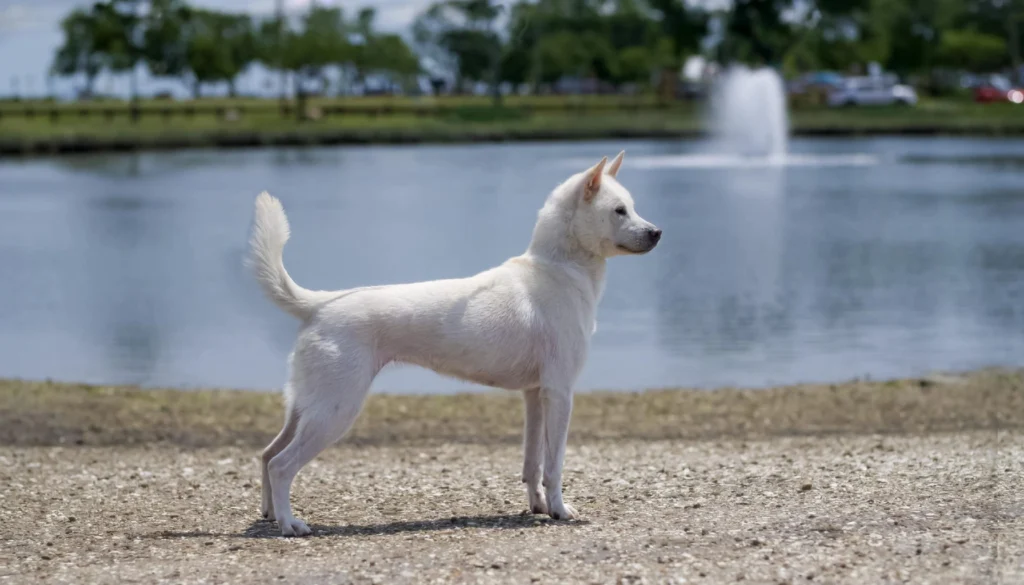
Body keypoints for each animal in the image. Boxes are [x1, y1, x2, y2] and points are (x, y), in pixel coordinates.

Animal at [245, 150, 655, 536]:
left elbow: (532, 462)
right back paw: (290, 525)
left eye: (632, 206)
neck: (558, 269)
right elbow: (554, 465)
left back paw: (270, 515)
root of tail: (318, 305)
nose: (657, 232)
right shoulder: (560, 392)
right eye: (619, 210)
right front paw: (559, 510)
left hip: (307, 406)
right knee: (281, 465)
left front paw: (538, 505)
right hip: (335, 410)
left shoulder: (535, 395)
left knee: (267, 454)